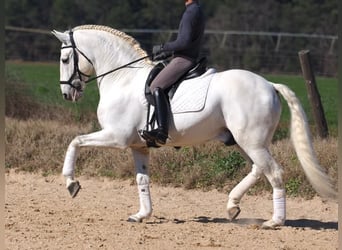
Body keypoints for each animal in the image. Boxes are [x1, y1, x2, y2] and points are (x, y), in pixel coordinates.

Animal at [52, 24, 336, 229]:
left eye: (65, 59)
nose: (66, 94)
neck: (122, 78)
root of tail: (269, 84)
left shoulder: (116, 137)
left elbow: (75, 141)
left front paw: (71, 183)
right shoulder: (138, 146)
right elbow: (142, 179)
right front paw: (142, 215)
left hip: (252, 142)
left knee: (274, 172)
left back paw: (274, 221)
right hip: (245, 141)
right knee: (258, 169)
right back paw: (232, 206)